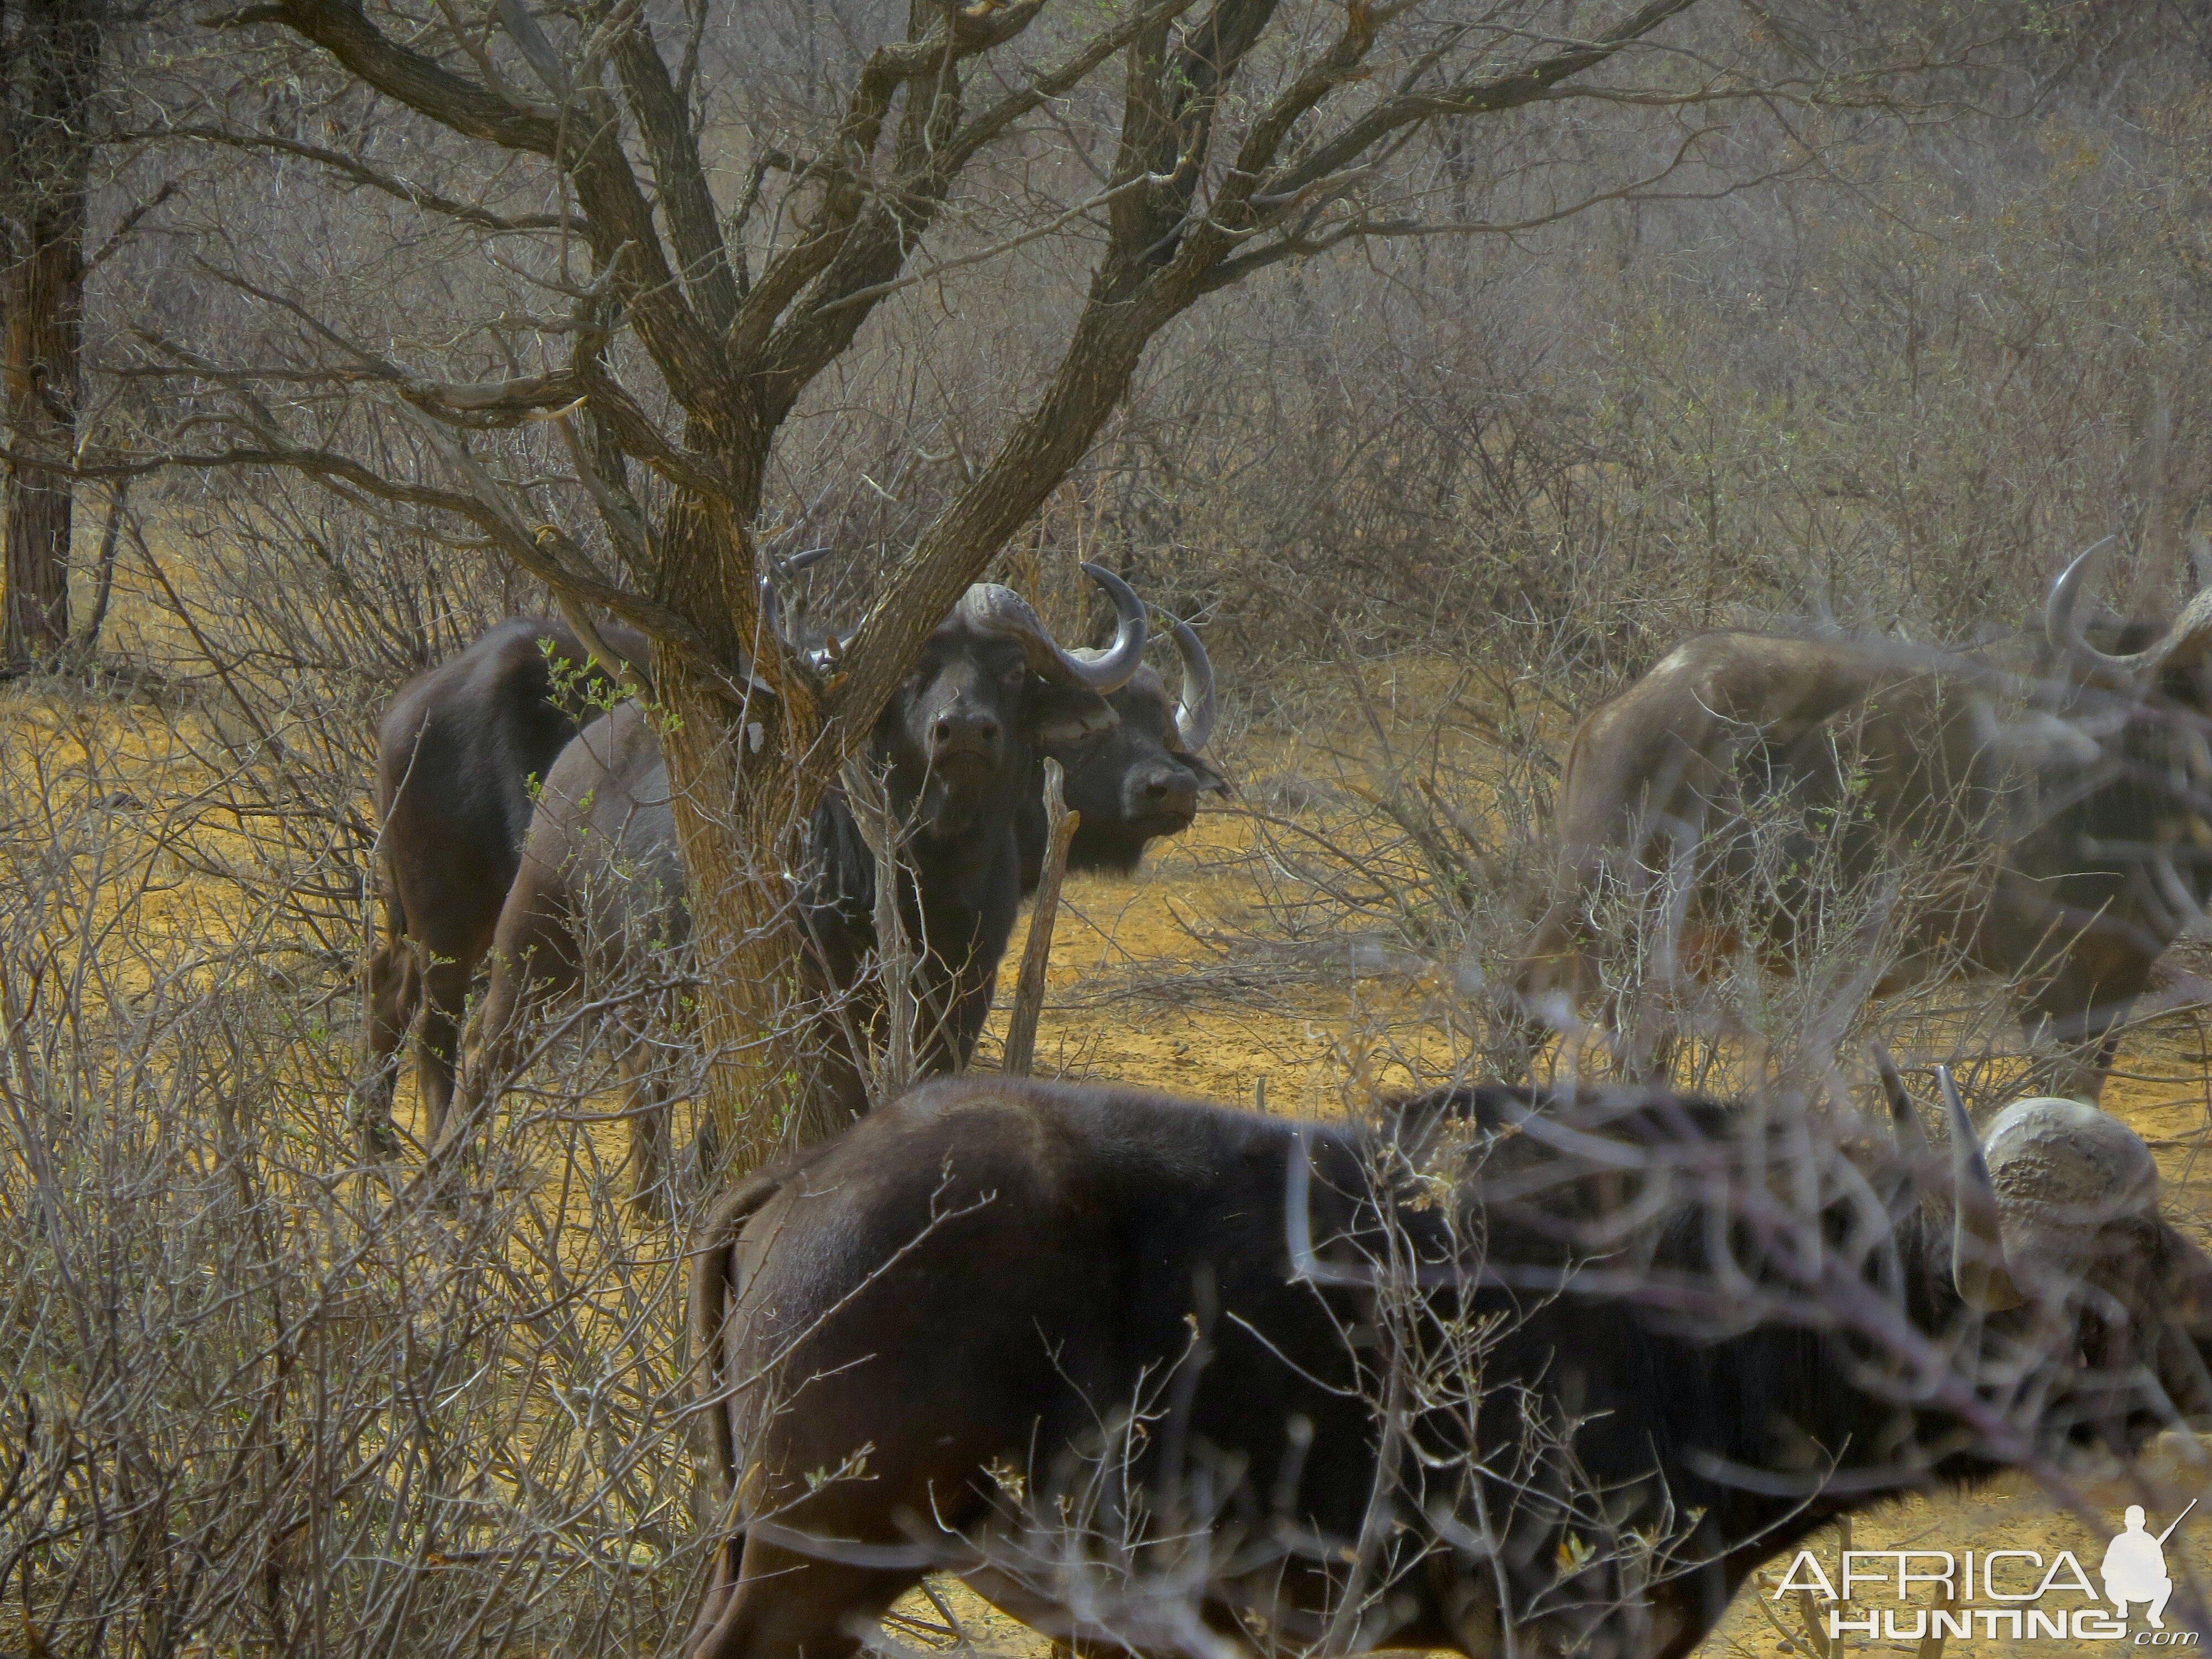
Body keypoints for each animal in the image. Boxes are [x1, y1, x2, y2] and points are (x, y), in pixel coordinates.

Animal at [1513, 540, 2212, 1097]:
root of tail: (1613, 714)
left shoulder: (2124, 972)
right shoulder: (2044, 972)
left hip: (1691, 936)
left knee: (1641, 1041)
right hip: (1596, 904)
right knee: (1527, 1001)